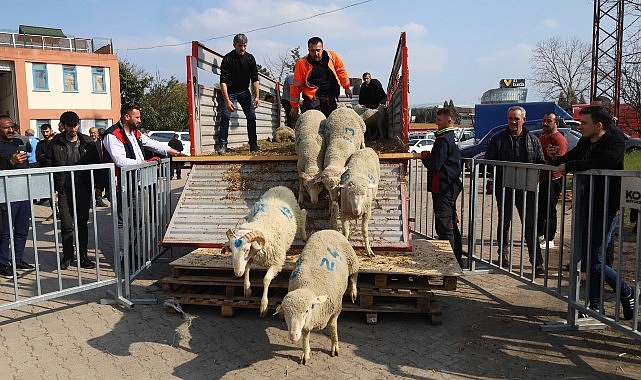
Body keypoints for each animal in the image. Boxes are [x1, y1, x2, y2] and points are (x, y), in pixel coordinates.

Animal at [222, 186, 308, 316]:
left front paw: (264, 306)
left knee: (303, 215)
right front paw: (247, 289)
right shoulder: (251, 258)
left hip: (296, 212)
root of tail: (280, 187)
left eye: (247, 249)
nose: (237, 273)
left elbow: (266, 280)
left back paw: (304, 236)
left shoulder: (277, 262)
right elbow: (247, 269)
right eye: (231, 250)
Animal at [274, 229, 358, 366]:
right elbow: (305, 334)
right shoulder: (306, 323)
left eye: (307, 311)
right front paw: (306, 353)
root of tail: (328, 230)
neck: (308, 287)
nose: (292, 336)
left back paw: (353, 291)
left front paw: (335, 346)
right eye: (285, 313)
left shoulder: (336, 310)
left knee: (354, 275)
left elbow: (333, 327)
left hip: (352, 261)